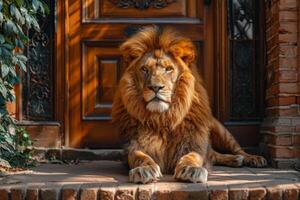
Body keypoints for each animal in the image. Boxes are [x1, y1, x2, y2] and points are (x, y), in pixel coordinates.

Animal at [111, 25, 266, 184]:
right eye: (144, 69)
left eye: (169, 69)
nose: (155, 87)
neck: (164, 117)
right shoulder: (134, 144)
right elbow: (139, 156)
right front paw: (144, 169)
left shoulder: (193, 143)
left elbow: (193, 156)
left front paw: (191, 169)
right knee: (214, 154)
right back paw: (235, 160)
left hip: (221, 131)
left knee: (233, 149)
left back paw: (251, 158)